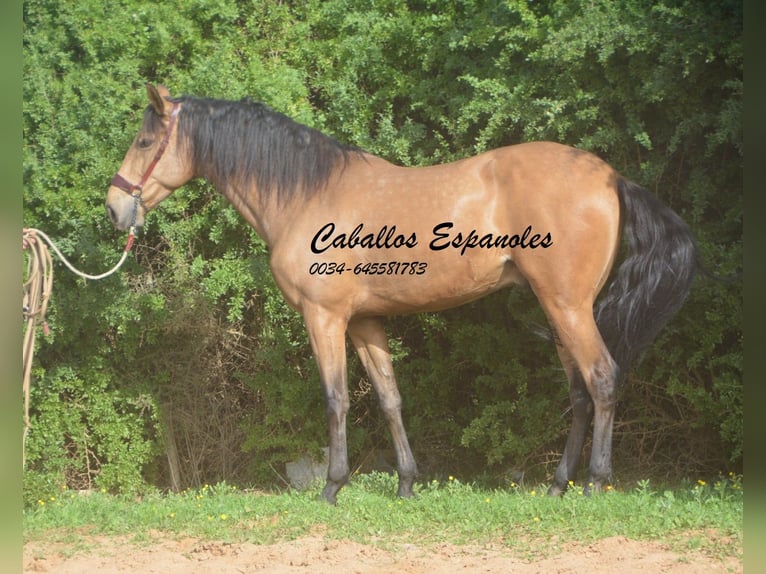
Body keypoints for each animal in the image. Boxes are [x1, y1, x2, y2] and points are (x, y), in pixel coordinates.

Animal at [108, 84, 704, 504]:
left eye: (144, 141)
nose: (114, 209)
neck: (306, 194)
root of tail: (609, 177)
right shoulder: (365, 322)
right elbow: (390, 399)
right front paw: (406, 484)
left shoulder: (324, 318)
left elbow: (336, 399)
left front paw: (332, 487)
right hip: (560, 311)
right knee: (579, 391)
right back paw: (558, 485)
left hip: (569, 307)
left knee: (601, 378)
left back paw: (596, 483)